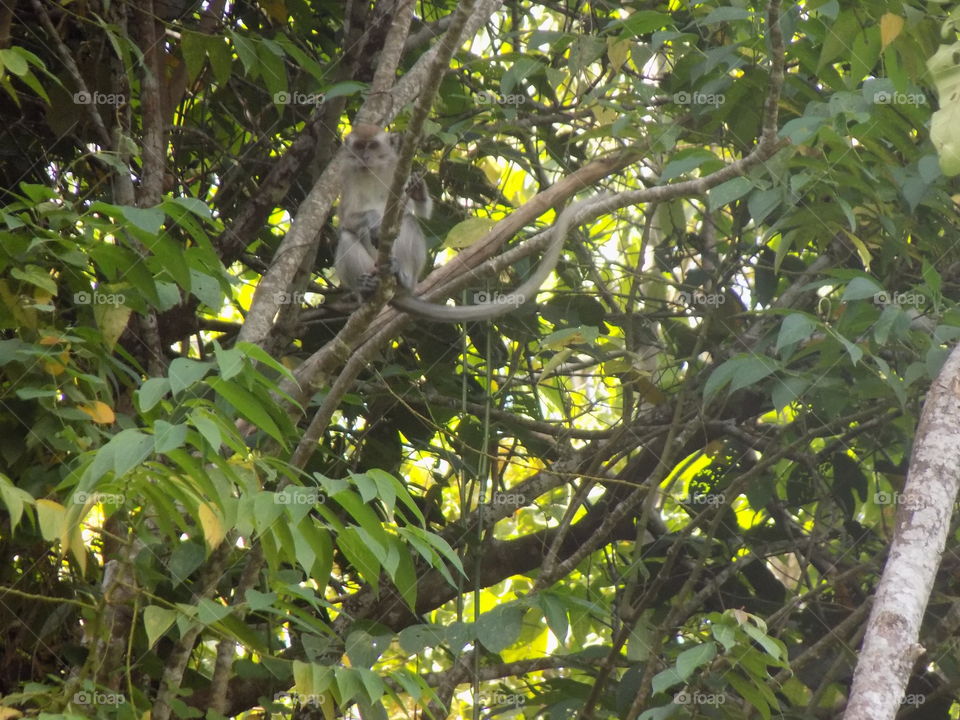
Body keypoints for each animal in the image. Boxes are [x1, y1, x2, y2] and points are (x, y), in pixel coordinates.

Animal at [334, 124, 573, 322]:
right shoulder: (347, 176)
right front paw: (373, 220)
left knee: (409, 222)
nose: (364, 156)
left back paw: (402, 279)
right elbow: (347, 219)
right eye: (359, 146)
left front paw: (418, 189)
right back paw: (365, 290)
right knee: (346, 237)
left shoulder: (397, 171)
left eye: (372, 146)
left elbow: (418, 212)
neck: (373, 171)